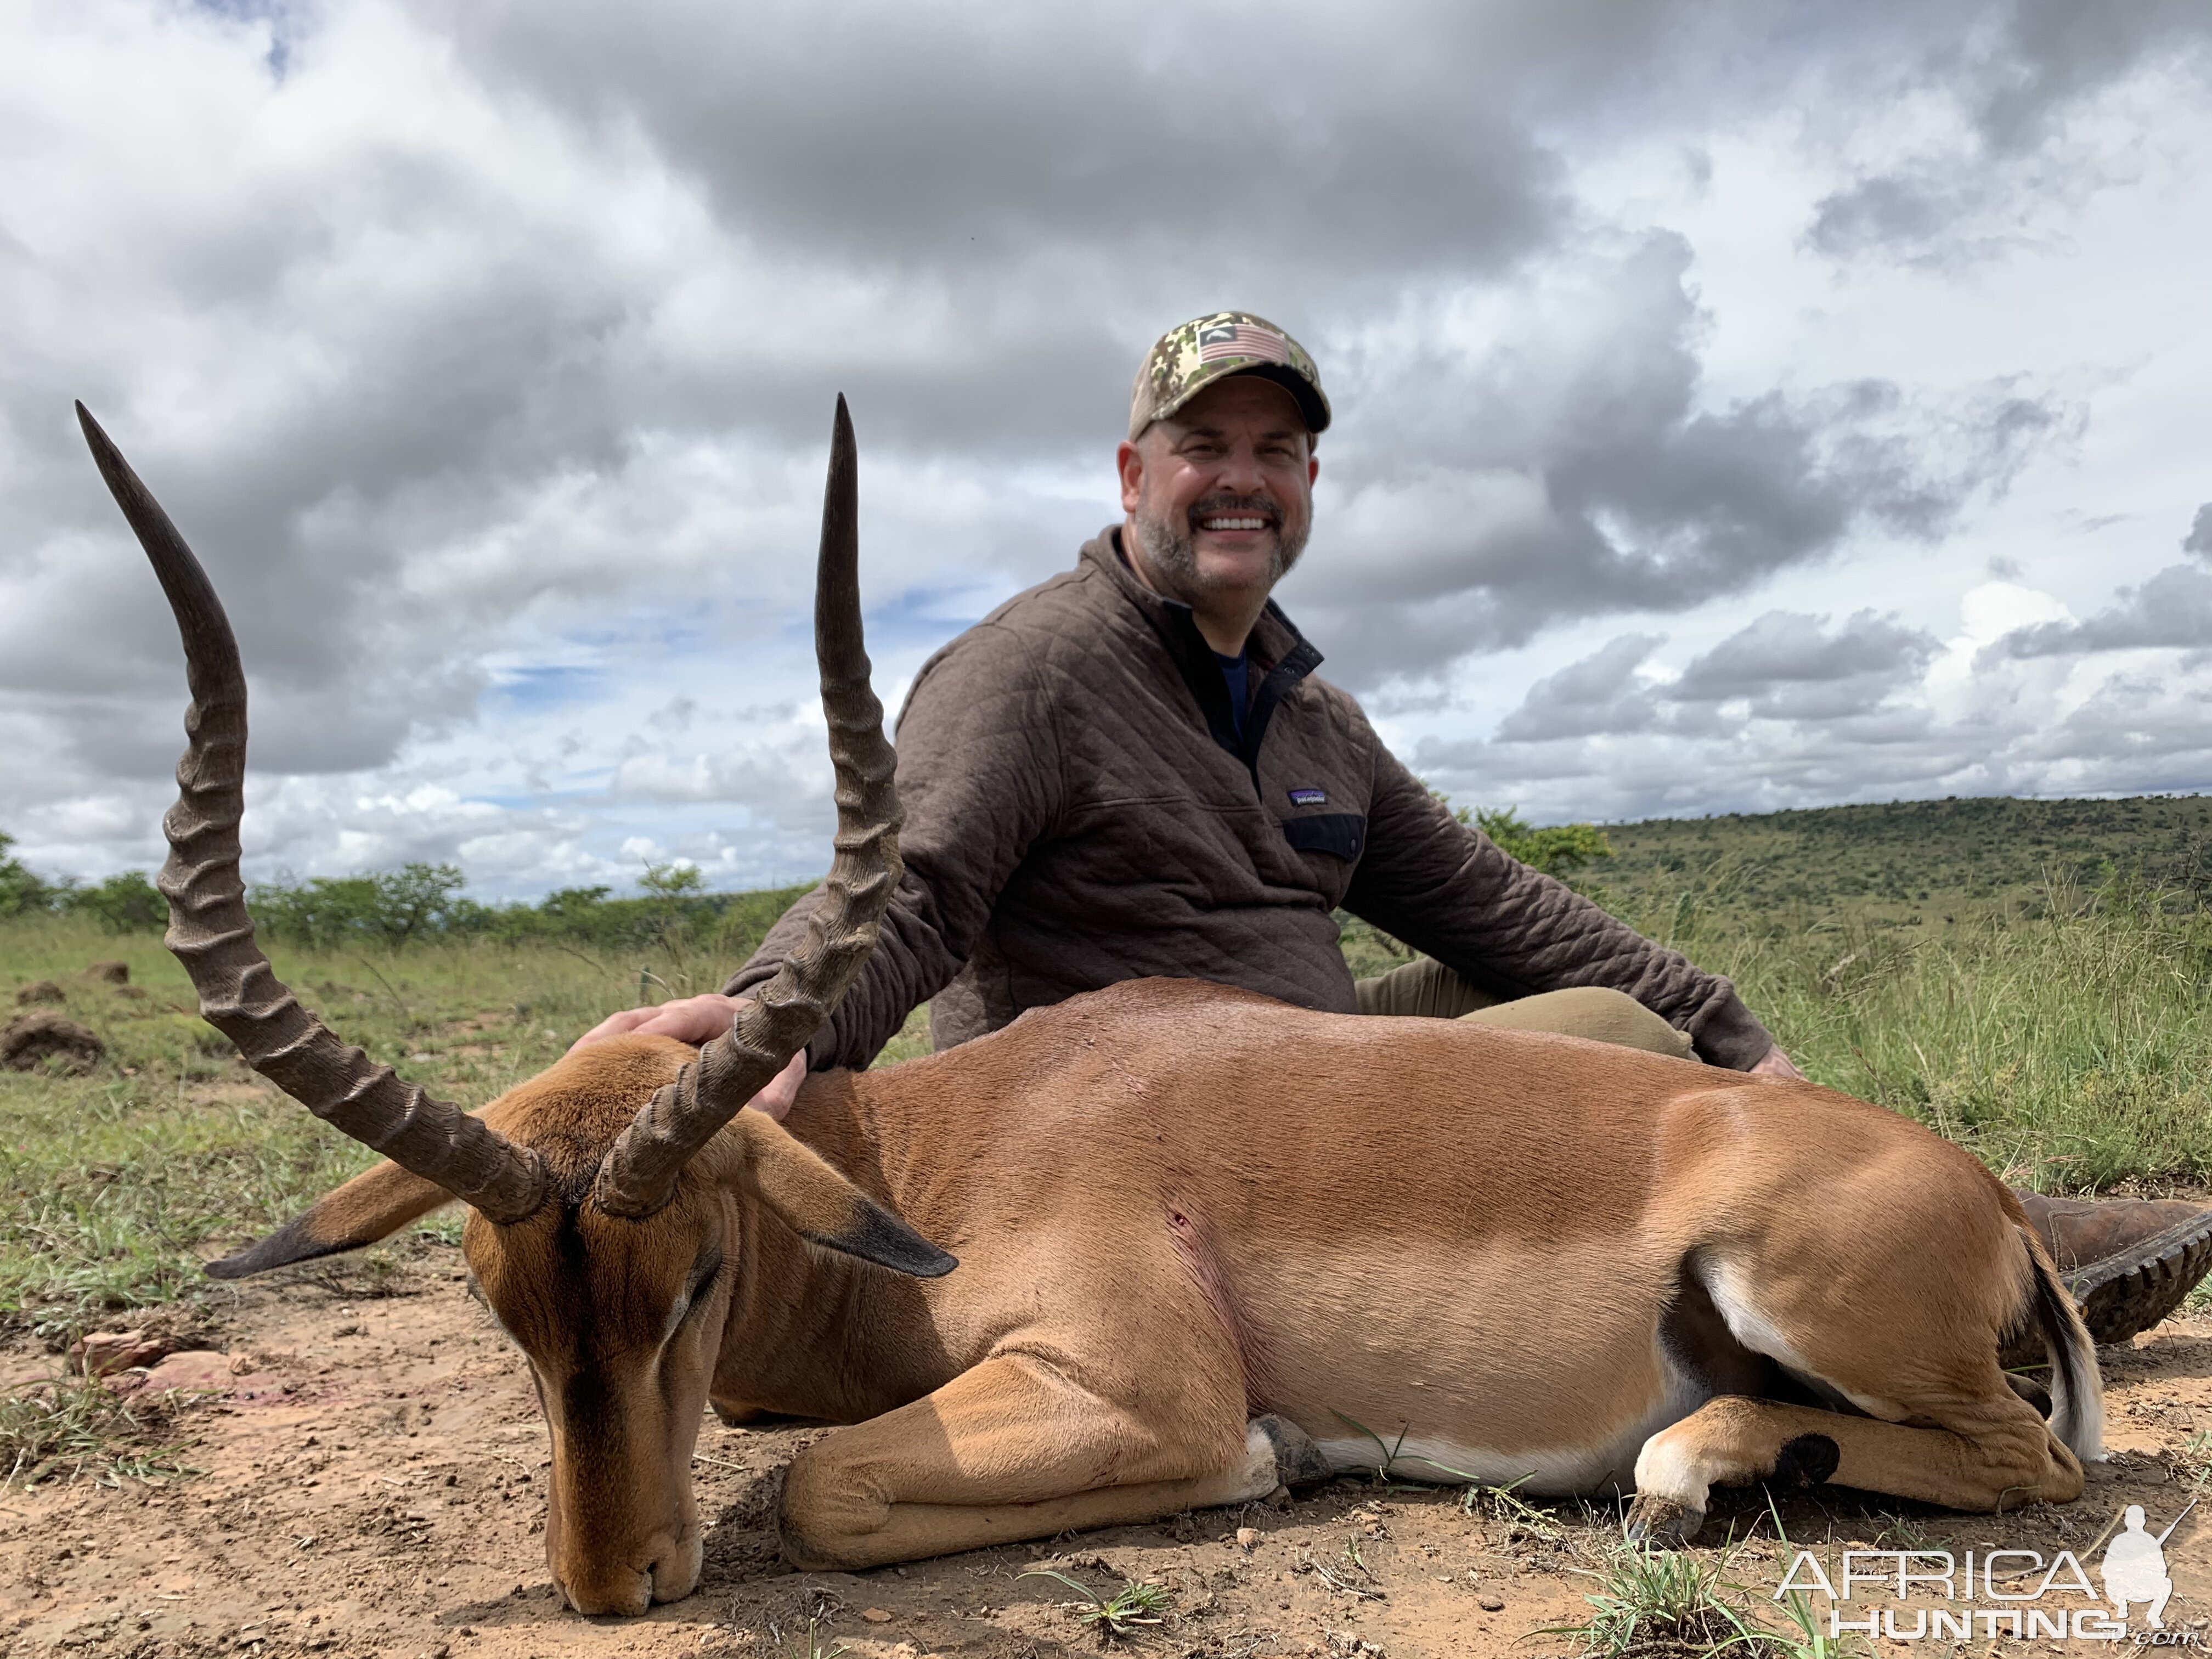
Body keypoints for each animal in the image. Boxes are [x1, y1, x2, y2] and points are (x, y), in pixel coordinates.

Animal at [78, 402, 2097, 1628]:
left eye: (700, 1275)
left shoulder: (1135, 1384)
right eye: (496, 1304)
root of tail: (1990, 1199)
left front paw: (1276, 1463)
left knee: (2023, 1461)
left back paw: (1695, 1474)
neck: (938, 1152)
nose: (612, 1584)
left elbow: (820, 1492)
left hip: (1804, 1301)